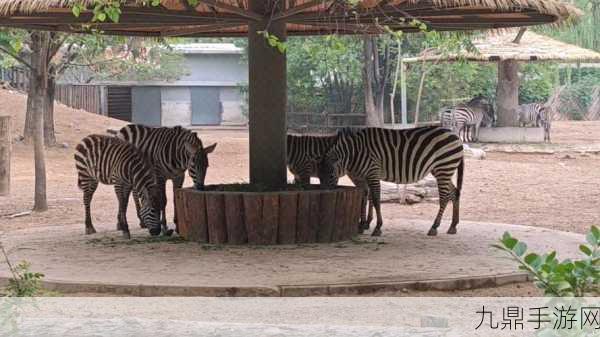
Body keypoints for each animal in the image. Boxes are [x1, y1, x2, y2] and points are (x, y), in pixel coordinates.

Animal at [318, 126, 464, 236]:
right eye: (320, 176)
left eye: (331, 175)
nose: (325, 194)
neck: (355, 152)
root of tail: (456, 136)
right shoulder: (367, 176)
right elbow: (368, 198)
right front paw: (365, 224)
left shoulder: (372, 172)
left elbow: (376, 199)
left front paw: (377, 227)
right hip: (442, 170)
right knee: (455, 193)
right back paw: (453, 226)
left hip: (444, 167)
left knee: (444, 197)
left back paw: (434, 227)